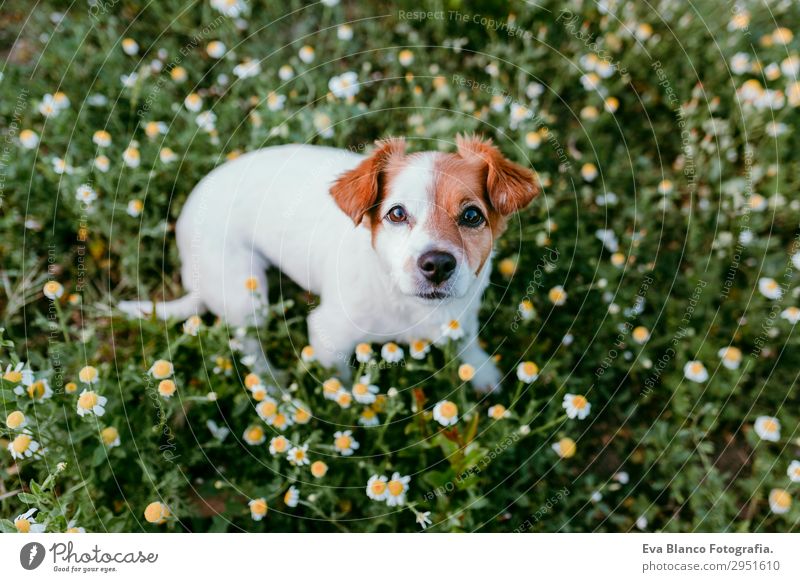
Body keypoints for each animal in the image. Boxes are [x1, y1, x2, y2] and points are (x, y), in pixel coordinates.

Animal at [122, 136, 536, 392]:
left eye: (471, 216)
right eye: (397, 213)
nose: (436, 264)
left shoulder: (462, 313)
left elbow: (468, 342)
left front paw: (480, 371)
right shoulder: (326, 334)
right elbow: (343, 385)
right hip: (244, 289)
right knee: (249, 346)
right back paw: (274, 390)